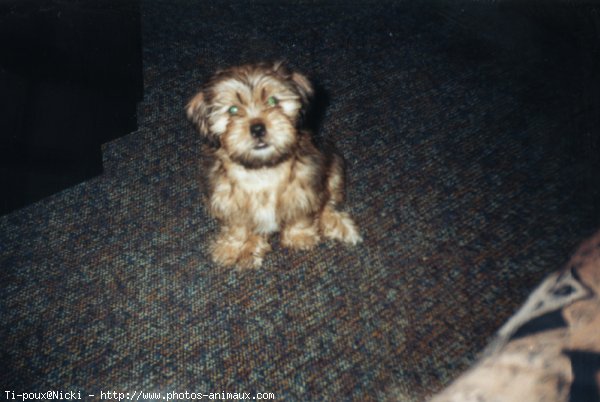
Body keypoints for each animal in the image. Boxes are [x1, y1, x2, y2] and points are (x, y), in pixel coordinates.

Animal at [185, 62, 360, 266]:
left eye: (273, 101)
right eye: (233, 110)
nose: (257, 128)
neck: (262, 170)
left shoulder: (304, 189)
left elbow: (300, 215)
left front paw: (299, 237)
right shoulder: (227, 200)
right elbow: (237, 226)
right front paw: (234, 247)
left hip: (333, 167)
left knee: (328, 203)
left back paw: (340, 225)